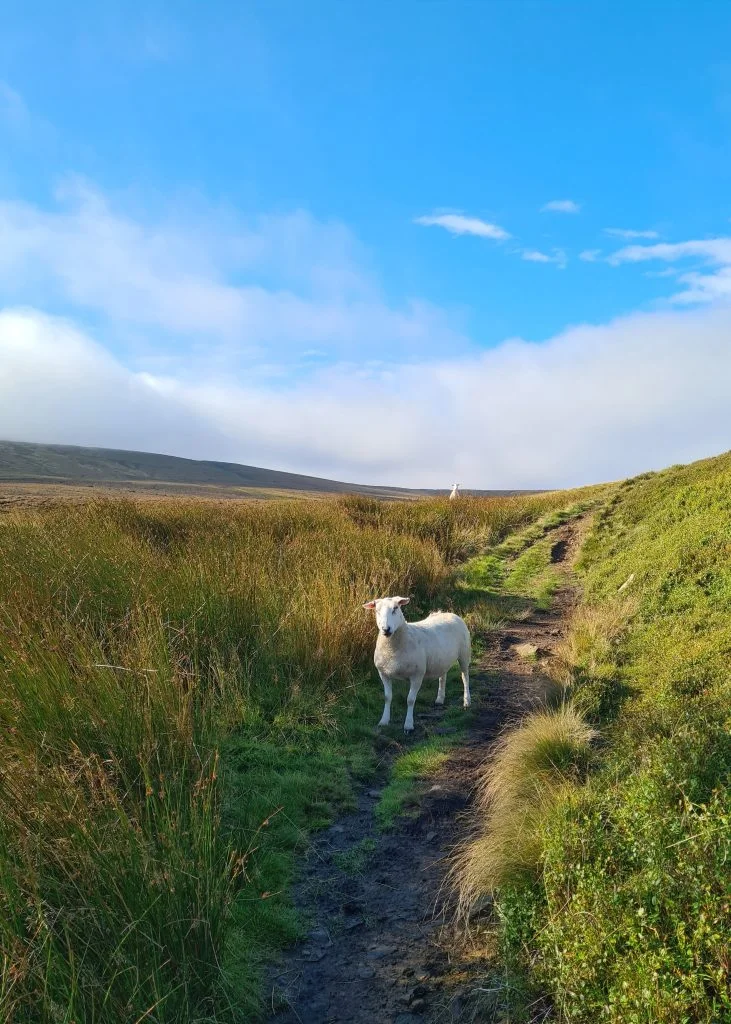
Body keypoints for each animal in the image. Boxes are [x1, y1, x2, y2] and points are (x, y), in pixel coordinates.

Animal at [362, 596, 471, 732]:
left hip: (464, 654)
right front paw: (384, 720)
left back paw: (467, 701)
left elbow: (410, 700)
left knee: (465, 677)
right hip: (442, 659)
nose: (386, 629)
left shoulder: (417, 675)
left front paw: (408, 725)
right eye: (377, 610)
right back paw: (440, 699)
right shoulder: (383, 673)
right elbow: (387, 697)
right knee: (443, 677)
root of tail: (449, 613)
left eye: (395, 608)